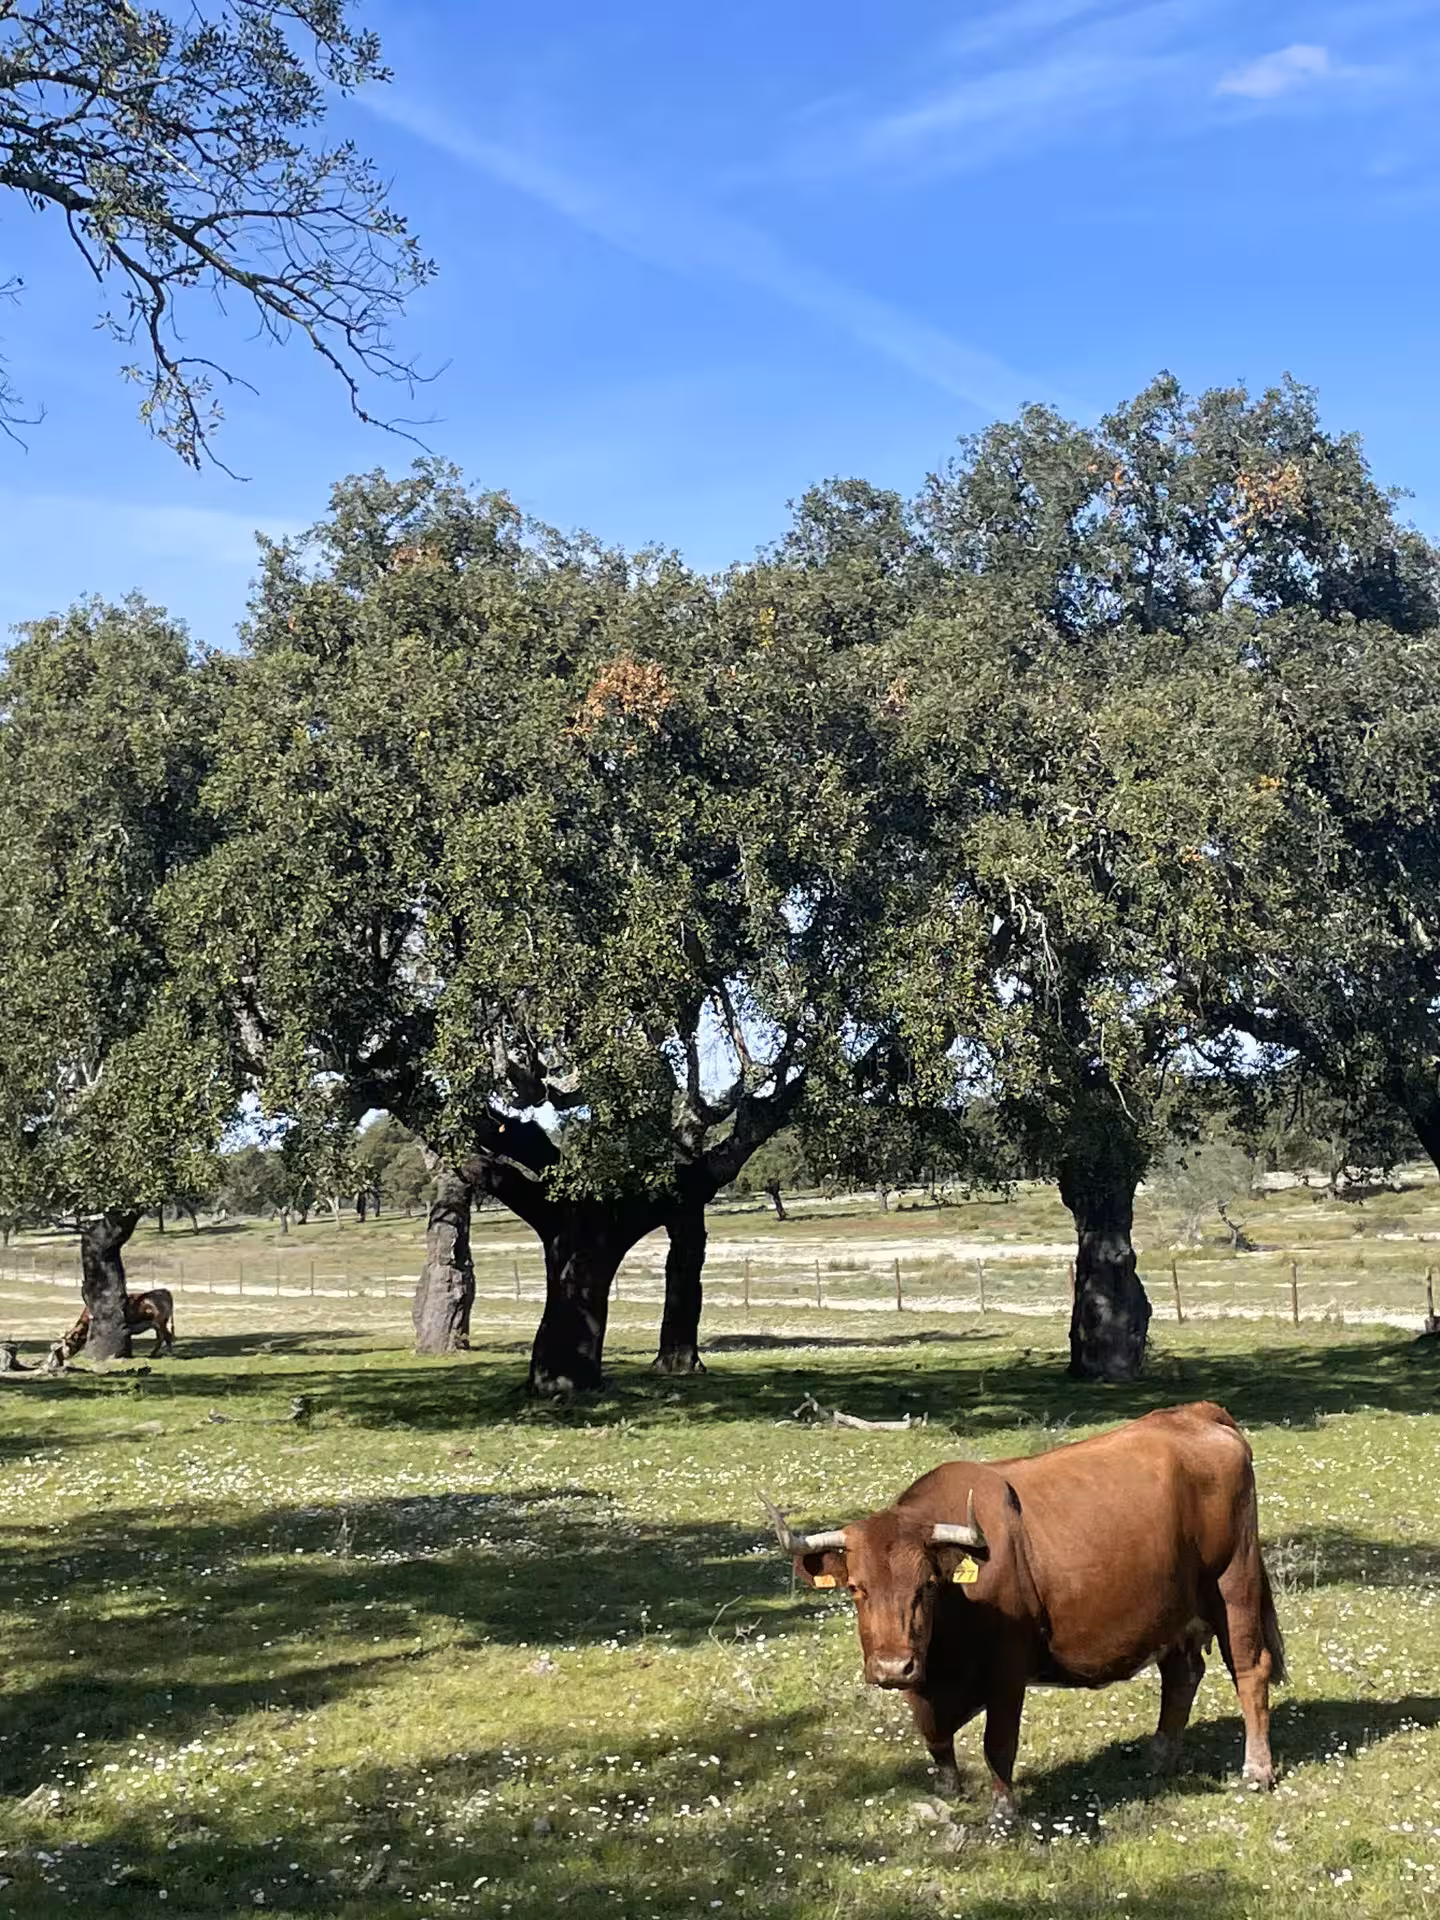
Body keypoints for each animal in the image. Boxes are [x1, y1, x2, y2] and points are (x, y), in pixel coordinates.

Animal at [763, 1401, 1286, 1825]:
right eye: (856, 1587)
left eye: (927, 1585)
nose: (893, 1667)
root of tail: (1195, 1415)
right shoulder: (923, 1682)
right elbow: (934, 1738)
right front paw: (947, 1790)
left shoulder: (1008, 1670)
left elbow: (999, 1741)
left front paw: (1003, 1811)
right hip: (1172, 1608)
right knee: (1181, 1674)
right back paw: (1158, 1756)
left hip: (1234, 1583)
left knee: (1249, 1669)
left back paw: (1257, 1769)